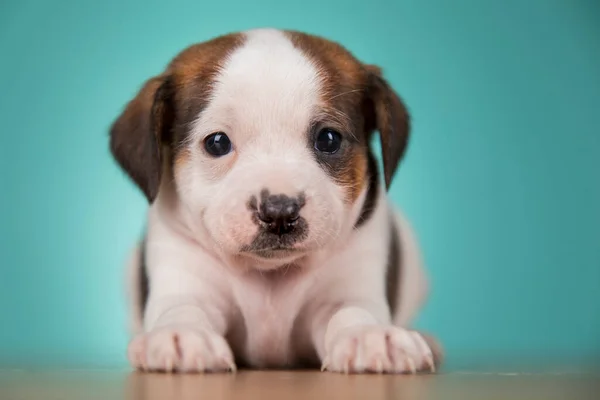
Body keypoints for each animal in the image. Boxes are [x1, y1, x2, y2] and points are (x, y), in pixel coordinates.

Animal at [111, 28, 440, 376]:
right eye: (217, 143)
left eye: (329, 139)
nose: (279, 212)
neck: (270, 275)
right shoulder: (182, 278)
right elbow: (183, 309)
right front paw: (181, 334)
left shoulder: (352, 285)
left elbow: (351, 312)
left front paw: (369, 334)